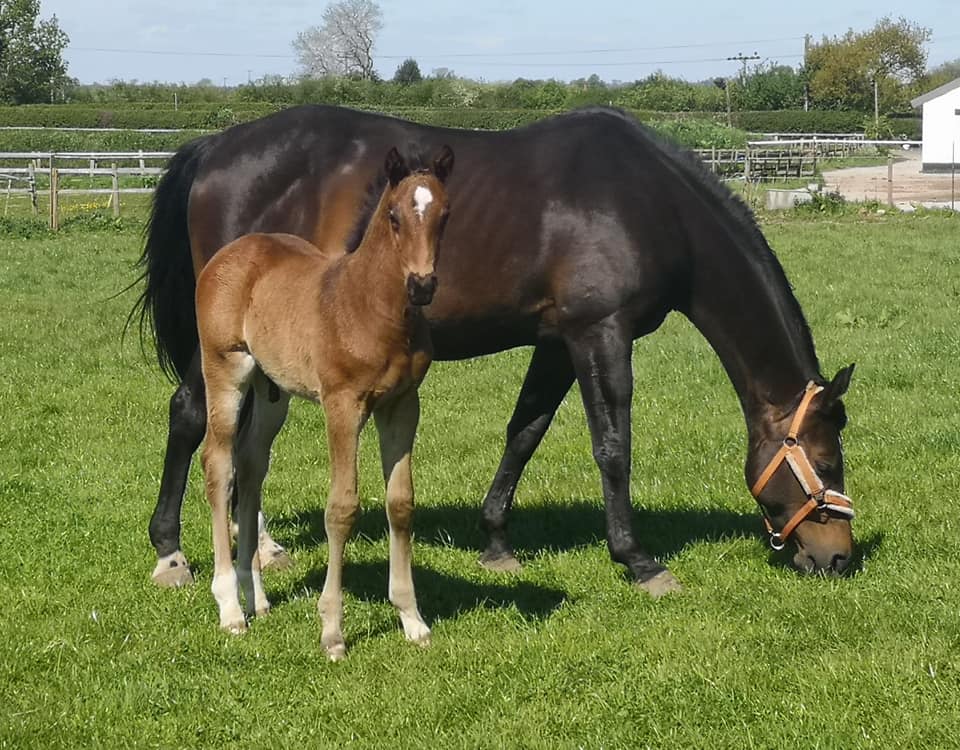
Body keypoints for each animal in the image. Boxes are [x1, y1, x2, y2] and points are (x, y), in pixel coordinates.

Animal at [133, 106, 856, 600]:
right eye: (824, 462)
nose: (839, 557)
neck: (648, 203)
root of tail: (216, 147)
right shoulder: (601, 334)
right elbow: (612, 446)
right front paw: (637, 558)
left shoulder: (558, 343)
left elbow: (525, 431)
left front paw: (497, 541)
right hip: (224, 344)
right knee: (191, 415)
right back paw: (172, 554)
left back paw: (262, 549)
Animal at [197, 145, 456, 656]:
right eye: (394, 216)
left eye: (444, 215)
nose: (422, 285)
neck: (370, 306)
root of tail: (229, 254)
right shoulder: (343, 405)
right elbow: (341, 508)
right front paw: (332, 630)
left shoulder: (402, 406)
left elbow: (401, 503)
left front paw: (412, 620)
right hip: (225, 371)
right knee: (219, 464)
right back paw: (230, 608)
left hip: (271, 390)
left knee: (251, 465)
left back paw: (256, 597)